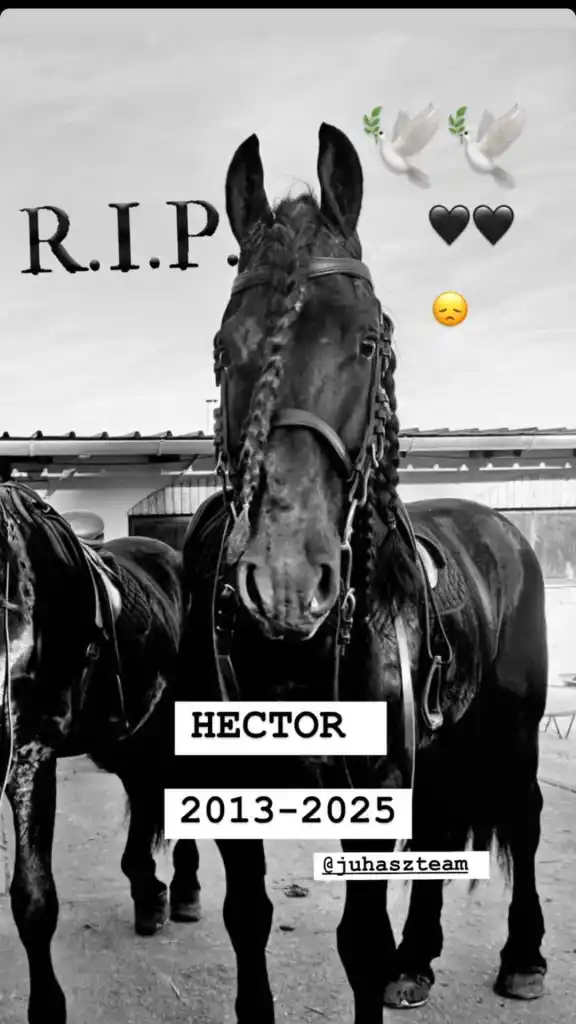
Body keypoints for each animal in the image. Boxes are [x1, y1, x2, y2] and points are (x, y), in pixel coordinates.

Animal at [0, 481, 201, 1024]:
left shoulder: (30, 756)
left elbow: (33, 899)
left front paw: (48, 1007)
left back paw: (184, 889)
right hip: (125, 733)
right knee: (145, 790)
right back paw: (148, 892)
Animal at [173, 121, 549, 1024]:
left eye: (368, 340)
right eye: (224, 347)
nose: (284, 585)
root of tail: (496, 527)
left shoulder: (377, 781)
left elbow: (359, 942)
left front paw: (390, 960)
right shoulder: (229, 783)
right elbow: (248, 916)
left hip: (515, 725)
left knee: (524, 816)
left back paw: (522, 956)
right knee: (444, 827)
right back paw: (420, 960)